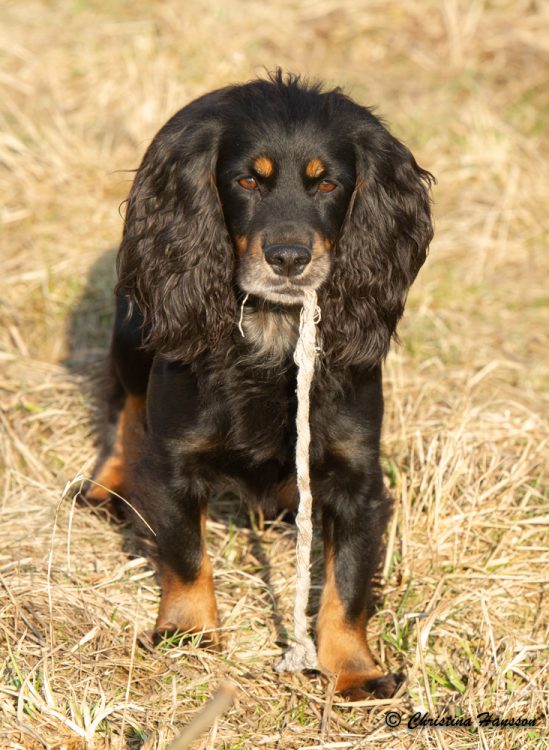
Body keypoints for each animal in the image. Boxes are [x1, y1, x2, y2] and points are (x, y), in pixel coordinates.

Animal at [86, 72, 432, 704]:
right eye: (247, 179)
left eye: (329, 183)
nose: (289, 258)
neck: (275, 330)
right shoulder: (175, 462)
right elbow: (185, 553)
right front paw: (188, 633)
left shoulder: (359, 476)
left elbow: (348, 582)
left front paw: (356, 669)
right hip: (133, 333)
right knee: (127, 405)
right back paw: (106, 486)